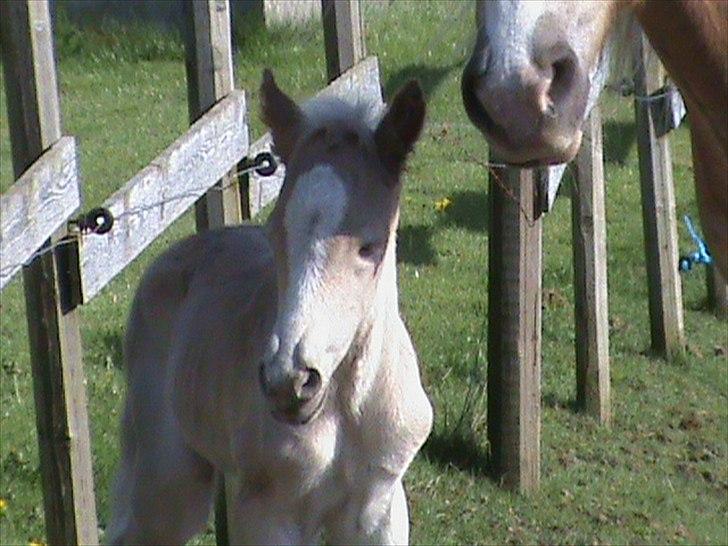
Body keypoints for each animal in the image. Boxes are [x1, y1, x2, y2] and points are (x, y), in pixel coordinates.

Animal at [108, 73, 432, 544]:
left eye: (370, 245)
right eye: (275, 232)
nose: (289, 382)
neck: (345, 409)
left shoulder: (380, 510)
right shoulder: (268, 512)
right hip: (169, 479)